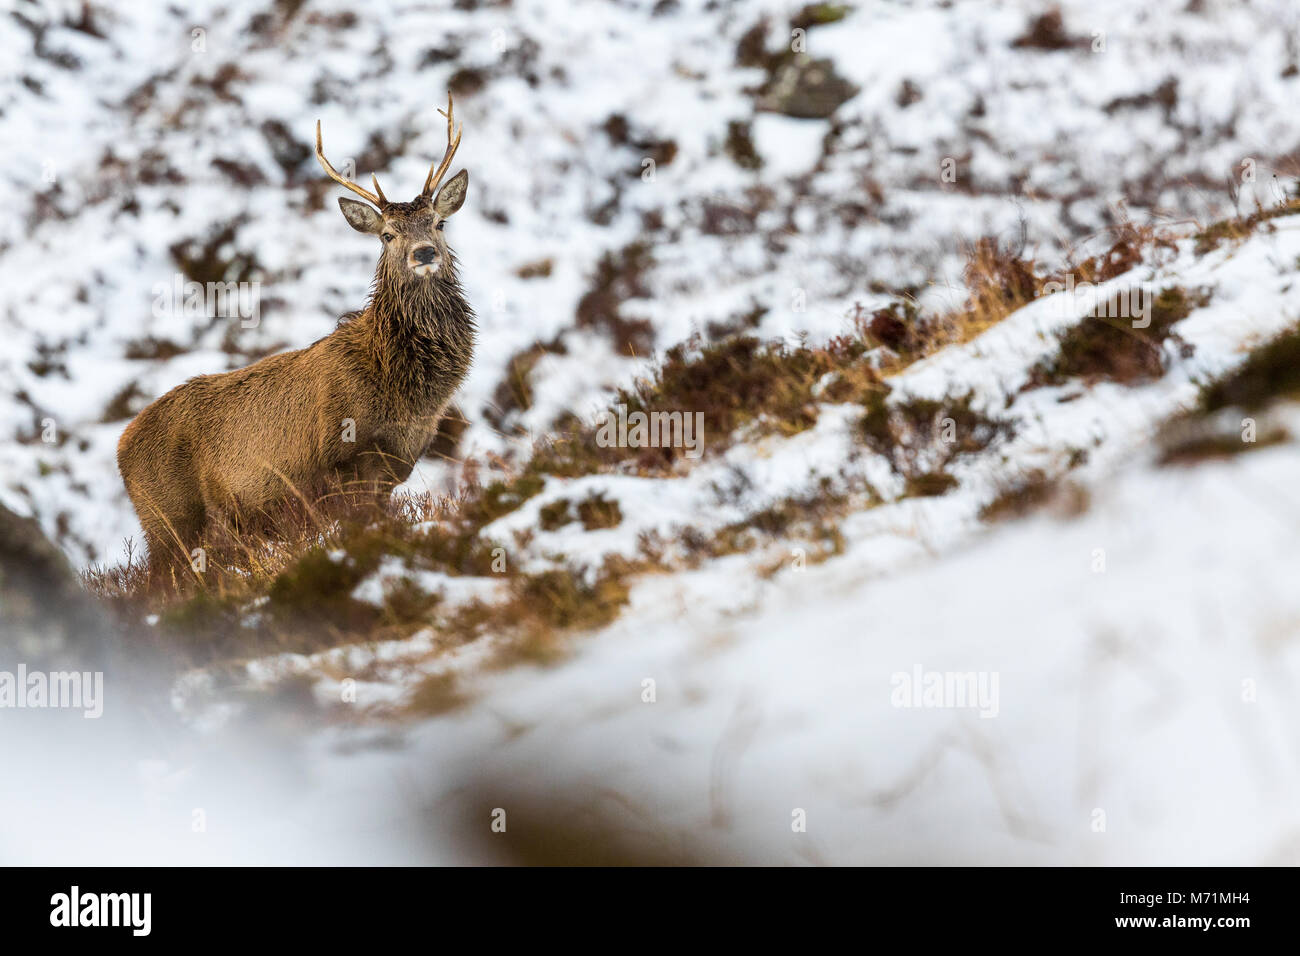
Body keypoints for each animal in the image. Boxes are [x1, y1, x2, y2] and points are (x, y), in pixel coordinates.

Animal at [119, 95, 475, 574]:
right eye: (387, 235)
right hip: (168, 518)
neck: (401, 388)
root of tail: (121, 447)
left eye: (438, 223)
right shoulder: (341, 462)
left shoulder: (394, 470)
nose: (423, 254)